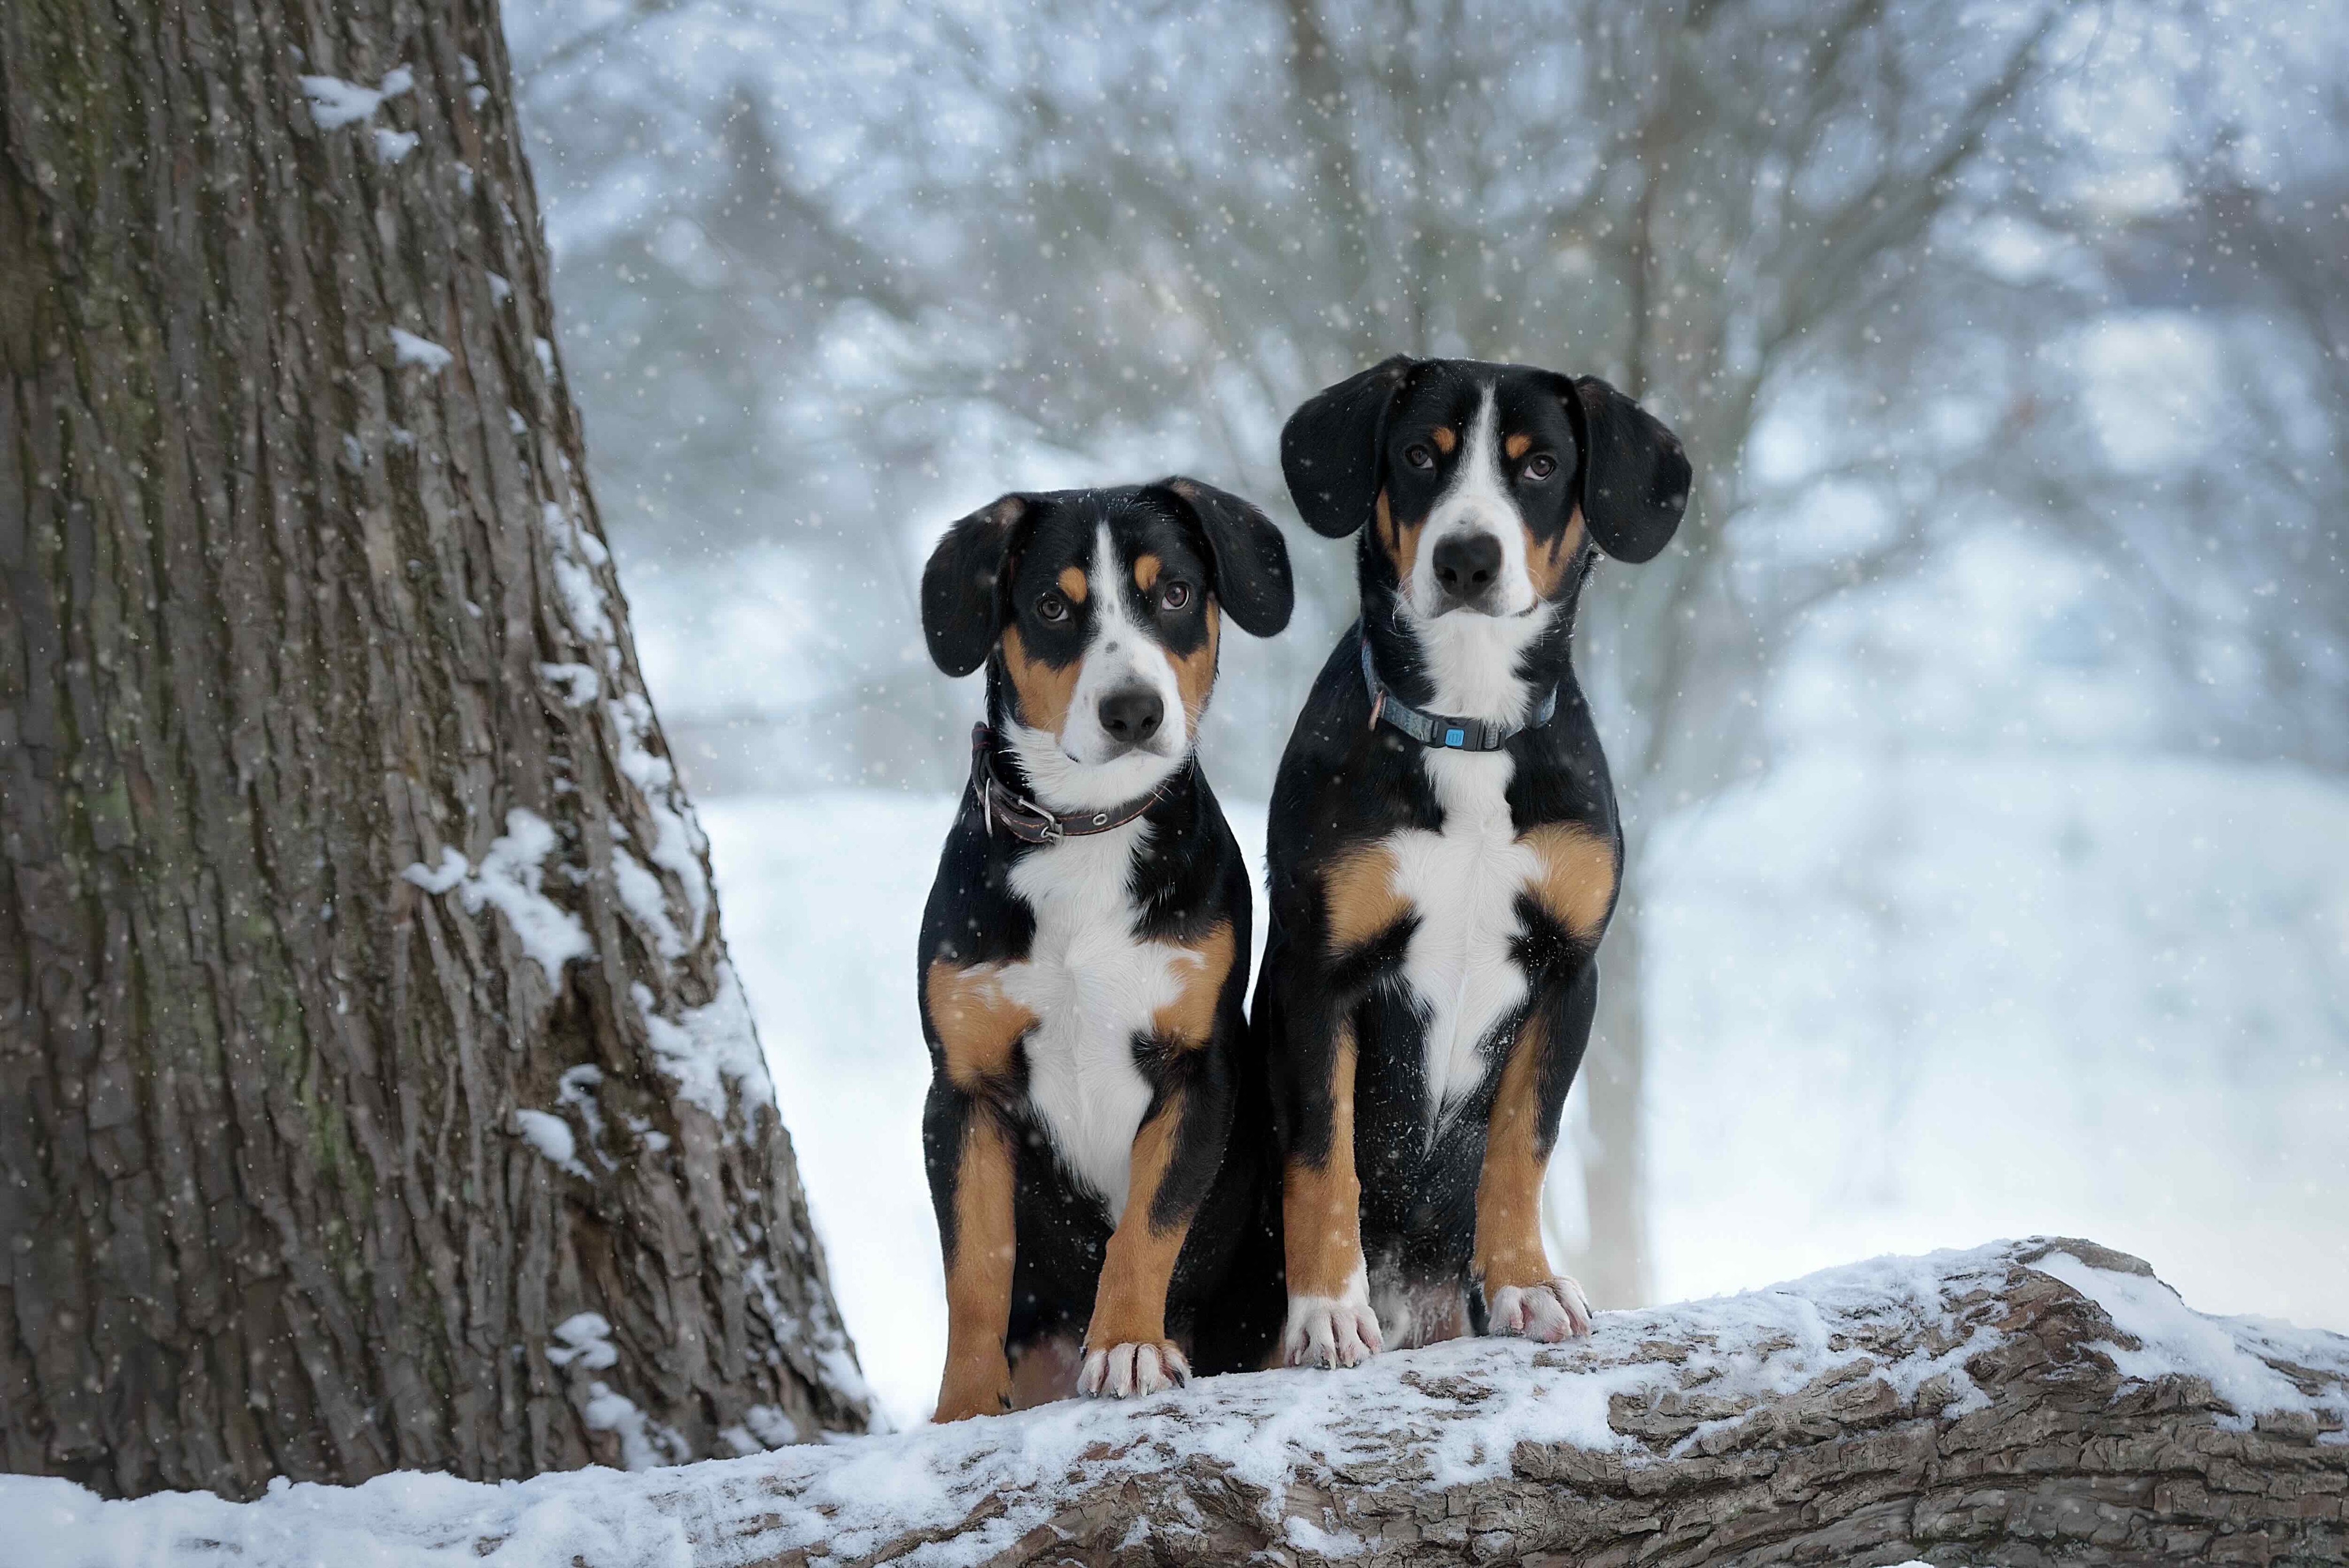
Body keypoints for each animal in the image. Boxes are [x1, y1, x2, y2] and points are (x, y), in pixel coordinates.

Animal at [916, 472, 1297, 1418]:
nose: (1133, 709)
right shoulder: (963, 1090)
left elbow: (1148, 1225)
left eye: (1176, 594)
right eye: (1053, 605)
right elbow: (976, 1268)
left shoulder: (1198, 1065)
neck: (1087, 831)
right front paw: (965, 1404)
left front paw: (1127, 1344)